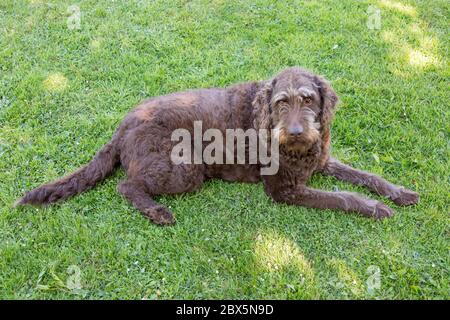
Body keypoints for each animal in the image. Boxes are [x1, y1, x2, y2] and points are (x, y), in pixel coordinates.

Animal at [15, 67, 420, 225]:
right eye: (281, 103)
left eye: (308, 99)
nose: (294, 132)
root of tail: (122, 126)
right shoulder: (284, 190)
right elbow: (341, 197)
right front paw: (373, 207)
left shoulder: (321, 161)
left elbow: (366, 175)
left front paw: (396, 192)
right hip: (184, 170)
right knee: (126, 185)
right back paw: (156, 211)